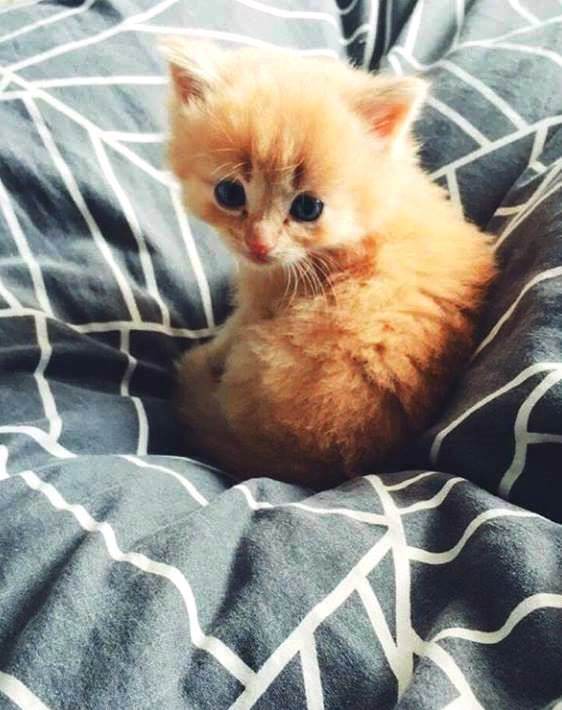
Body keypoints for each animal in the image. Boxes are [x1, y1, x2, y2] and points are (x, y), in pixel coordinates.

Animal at [162, 38, 496, 486]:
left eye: (308, 208)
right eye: (229, 194)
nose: (259, 244)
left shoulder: (257, 306)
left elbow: (228, 333)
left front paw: (210, 351)